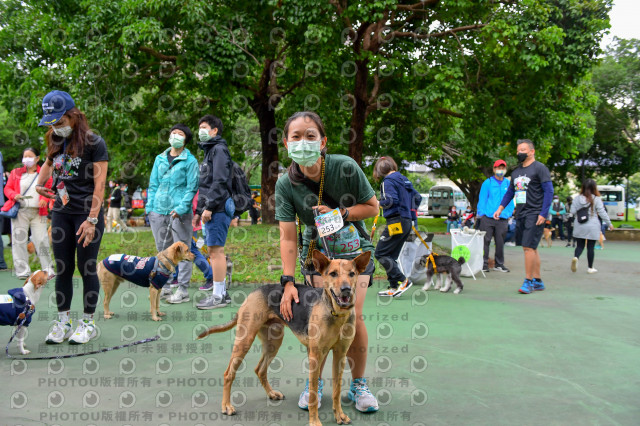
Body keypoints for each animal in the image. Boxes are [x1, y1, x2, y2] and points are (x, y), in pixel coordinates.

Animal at [198, 250, 372, 426]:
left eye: (352, 274)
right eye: (333, 274)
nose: (346, 290)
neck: (336, 313)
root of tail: (253, 292)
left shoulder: (340, 355)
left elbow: (337, 390)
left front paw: (339, 415)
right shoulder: (315, 355)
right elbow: (313, 394)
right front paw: (314, 421)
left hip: (273, 343)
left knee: (260, 370)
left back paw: (271, 393)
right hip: (245, 341)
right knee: (229, 374)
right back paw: (227, 406)